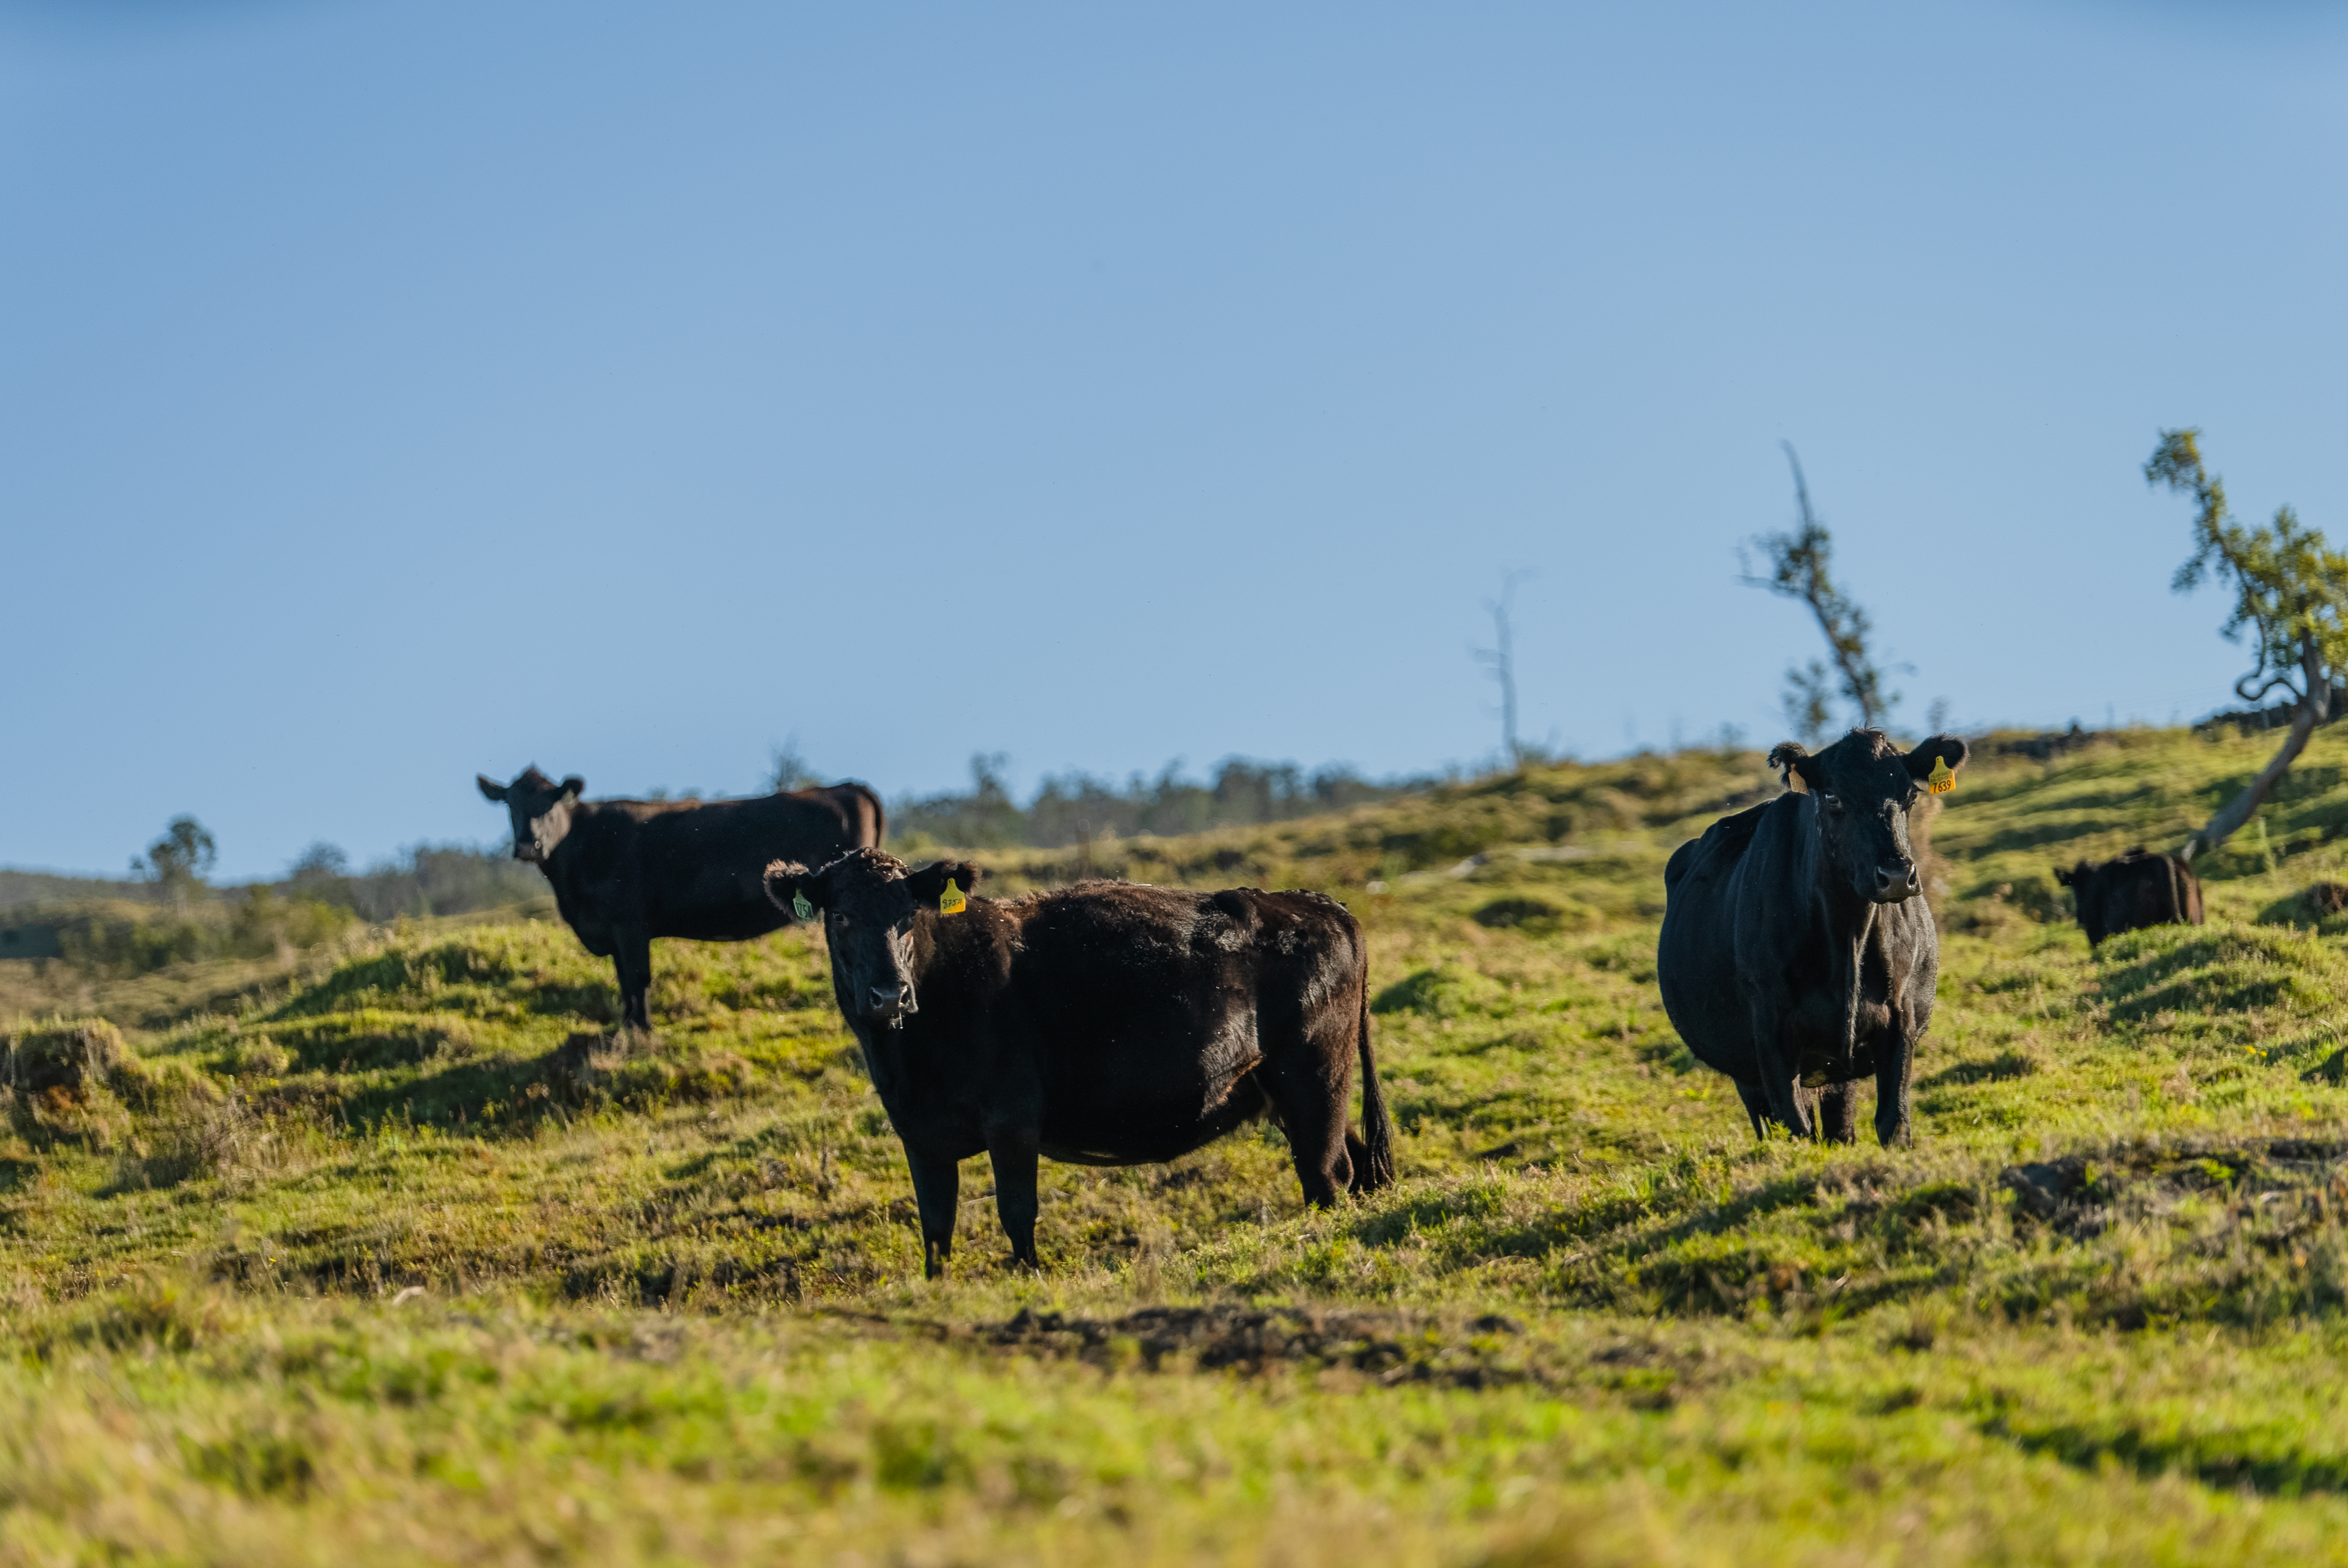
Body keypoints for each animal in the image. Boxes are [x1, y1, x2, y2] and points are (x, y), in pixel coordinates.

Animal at [476, 770, 883, 1033]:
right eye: (510, 805)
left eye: (551, 803)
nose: (528, 845)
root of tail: (848, 788)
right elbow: (624, 981)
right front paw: (627, 1027)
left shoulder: (630, 926)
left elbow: (638, 978)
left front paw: (641, 1031)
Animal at [765, 849, 1390, 1277]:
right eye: (840, 917)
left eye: (908, 915)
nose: (889, 995)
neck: (910, 1059)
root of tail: (1319, 903)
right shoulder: (919, 1135)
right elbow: (936, 1230)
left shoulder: (1012, 1118)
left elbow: (1016, 1211)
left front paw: (1028, 1280)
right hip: (1290, 1091)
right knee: (1357, 1164)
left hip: (1314, 1076)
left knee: (1326, 1173)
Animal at [1662, 728, 1972, 1145]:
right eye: (1832, 796)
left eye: (1910, 796)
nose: (1895, 875)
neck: (1848, 937)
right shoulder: (1771, 1033)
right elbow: (1795, 1125)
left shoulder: (1899, 1018)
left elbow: (1894, 1121)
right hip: (1746, 1068)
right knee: (1770, 1123)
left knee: (1840, 1125)